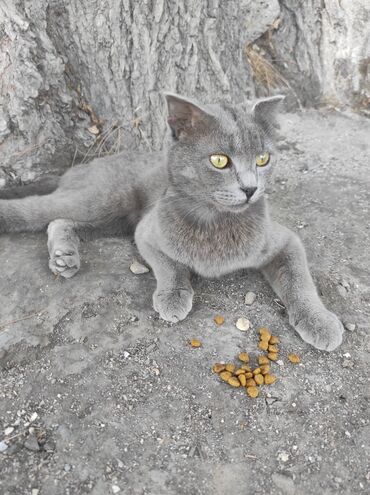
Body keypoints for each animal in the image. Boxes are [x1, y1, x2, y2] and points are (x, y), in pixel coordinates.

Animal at [0, 94, 344, 352]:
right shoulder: (148, 233)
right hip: (102, 199)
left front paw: (321, 323)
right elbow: (170, 265)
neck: (214, 222)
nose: (251, 189)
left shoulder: (284, 240)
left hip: (113, 218)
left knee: (60, 221)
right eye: (219, 160)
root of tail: (84, 165)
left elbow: (300, 281)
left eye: (263, 159)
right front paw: (173, 296)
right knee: (40, 212)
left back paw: (65, 257)